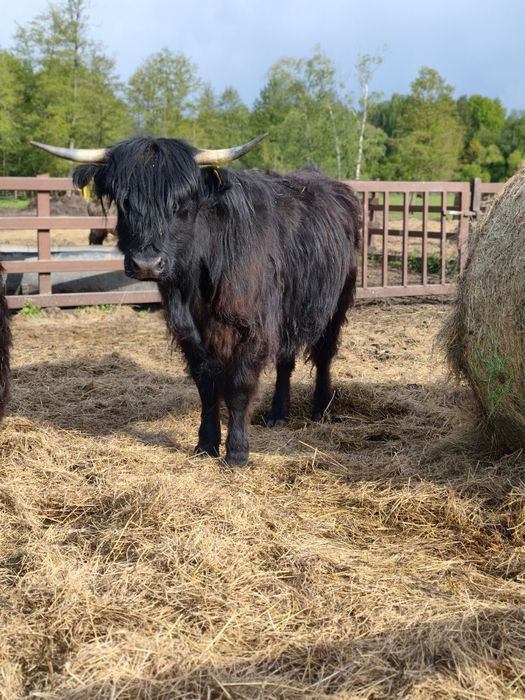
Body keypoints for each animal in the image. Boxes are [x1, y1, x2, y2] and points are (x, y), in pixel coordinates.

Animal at [31, 135, 361, 466]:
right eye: (123, 201)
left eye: (181, 203)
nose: (147, 263)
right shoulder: (190, 332)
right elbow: (206, 385)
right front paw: (206, 444)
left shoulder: (253, 327)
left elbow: (239, 386)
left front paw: (237, 452)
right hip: (288, 311)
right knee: (285, 359)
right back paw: (278, 415)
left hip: (336, 303)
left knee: (324, 354)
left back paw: (321, 408)